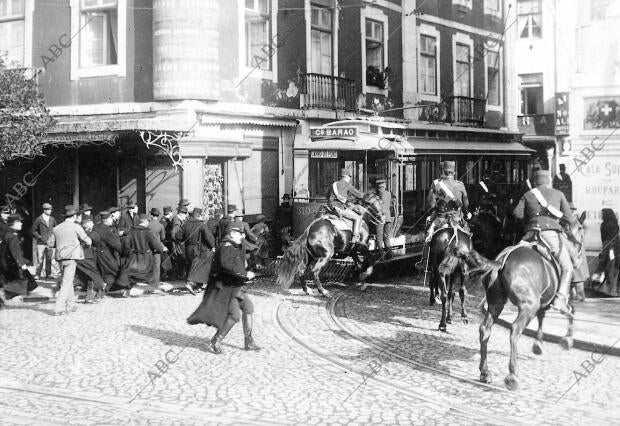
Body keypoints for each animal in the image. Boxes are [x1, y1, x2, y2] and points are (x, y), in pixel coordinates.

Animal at [456, 211, 588, 392]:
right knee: (515, 330)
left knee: (485, 330)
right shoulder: (549, 301)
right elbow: (570, 311)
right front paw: (567, 339)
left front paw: (538, 344)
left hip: (496, 304)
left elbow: (542, 317)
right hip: (527, 306)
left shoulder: (542, 301)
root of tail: (503, 260)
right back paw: (512, 375)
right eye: (581, 228)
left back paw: (485, 372)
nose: (580, 257)